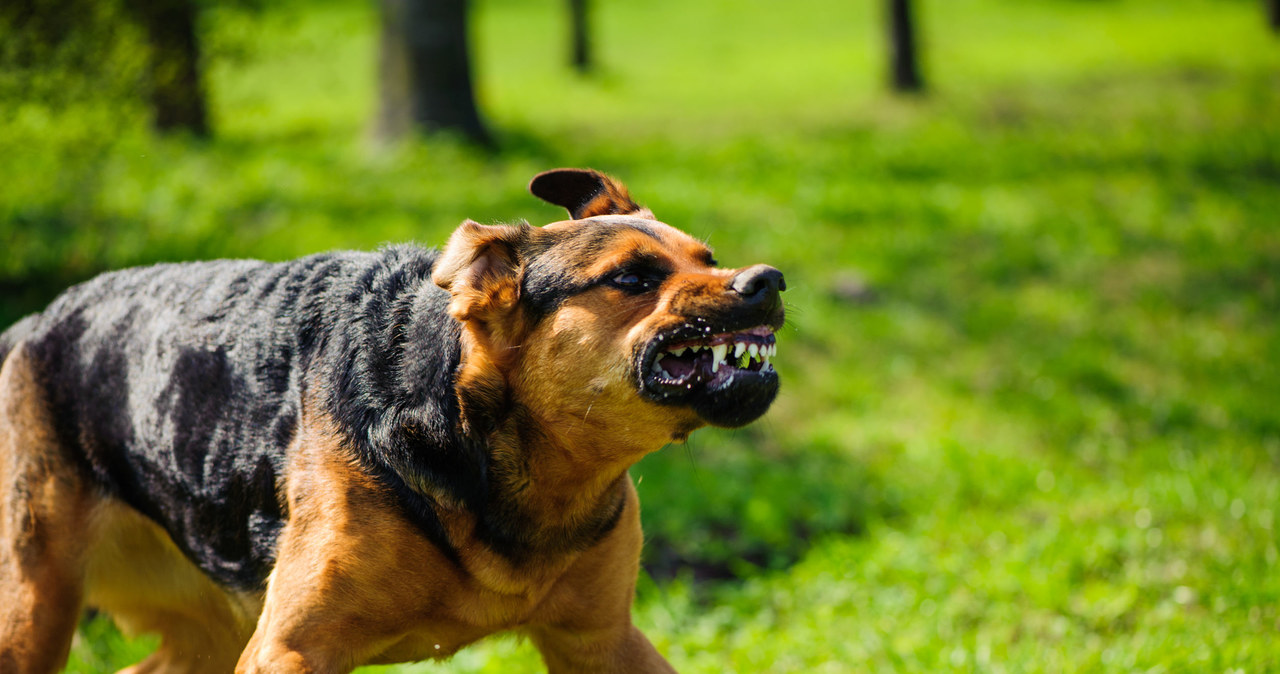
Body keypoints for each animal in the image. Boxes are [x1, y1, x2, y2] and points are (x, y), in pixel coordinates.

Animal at [0, 168, 783, 674]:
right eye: (632, 278)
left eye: (708, 258)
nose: (767, 281)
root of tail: (31, 326)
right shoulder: (290, 649)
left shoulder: (602, 640)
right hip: (34, 607)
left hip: (208, 629)